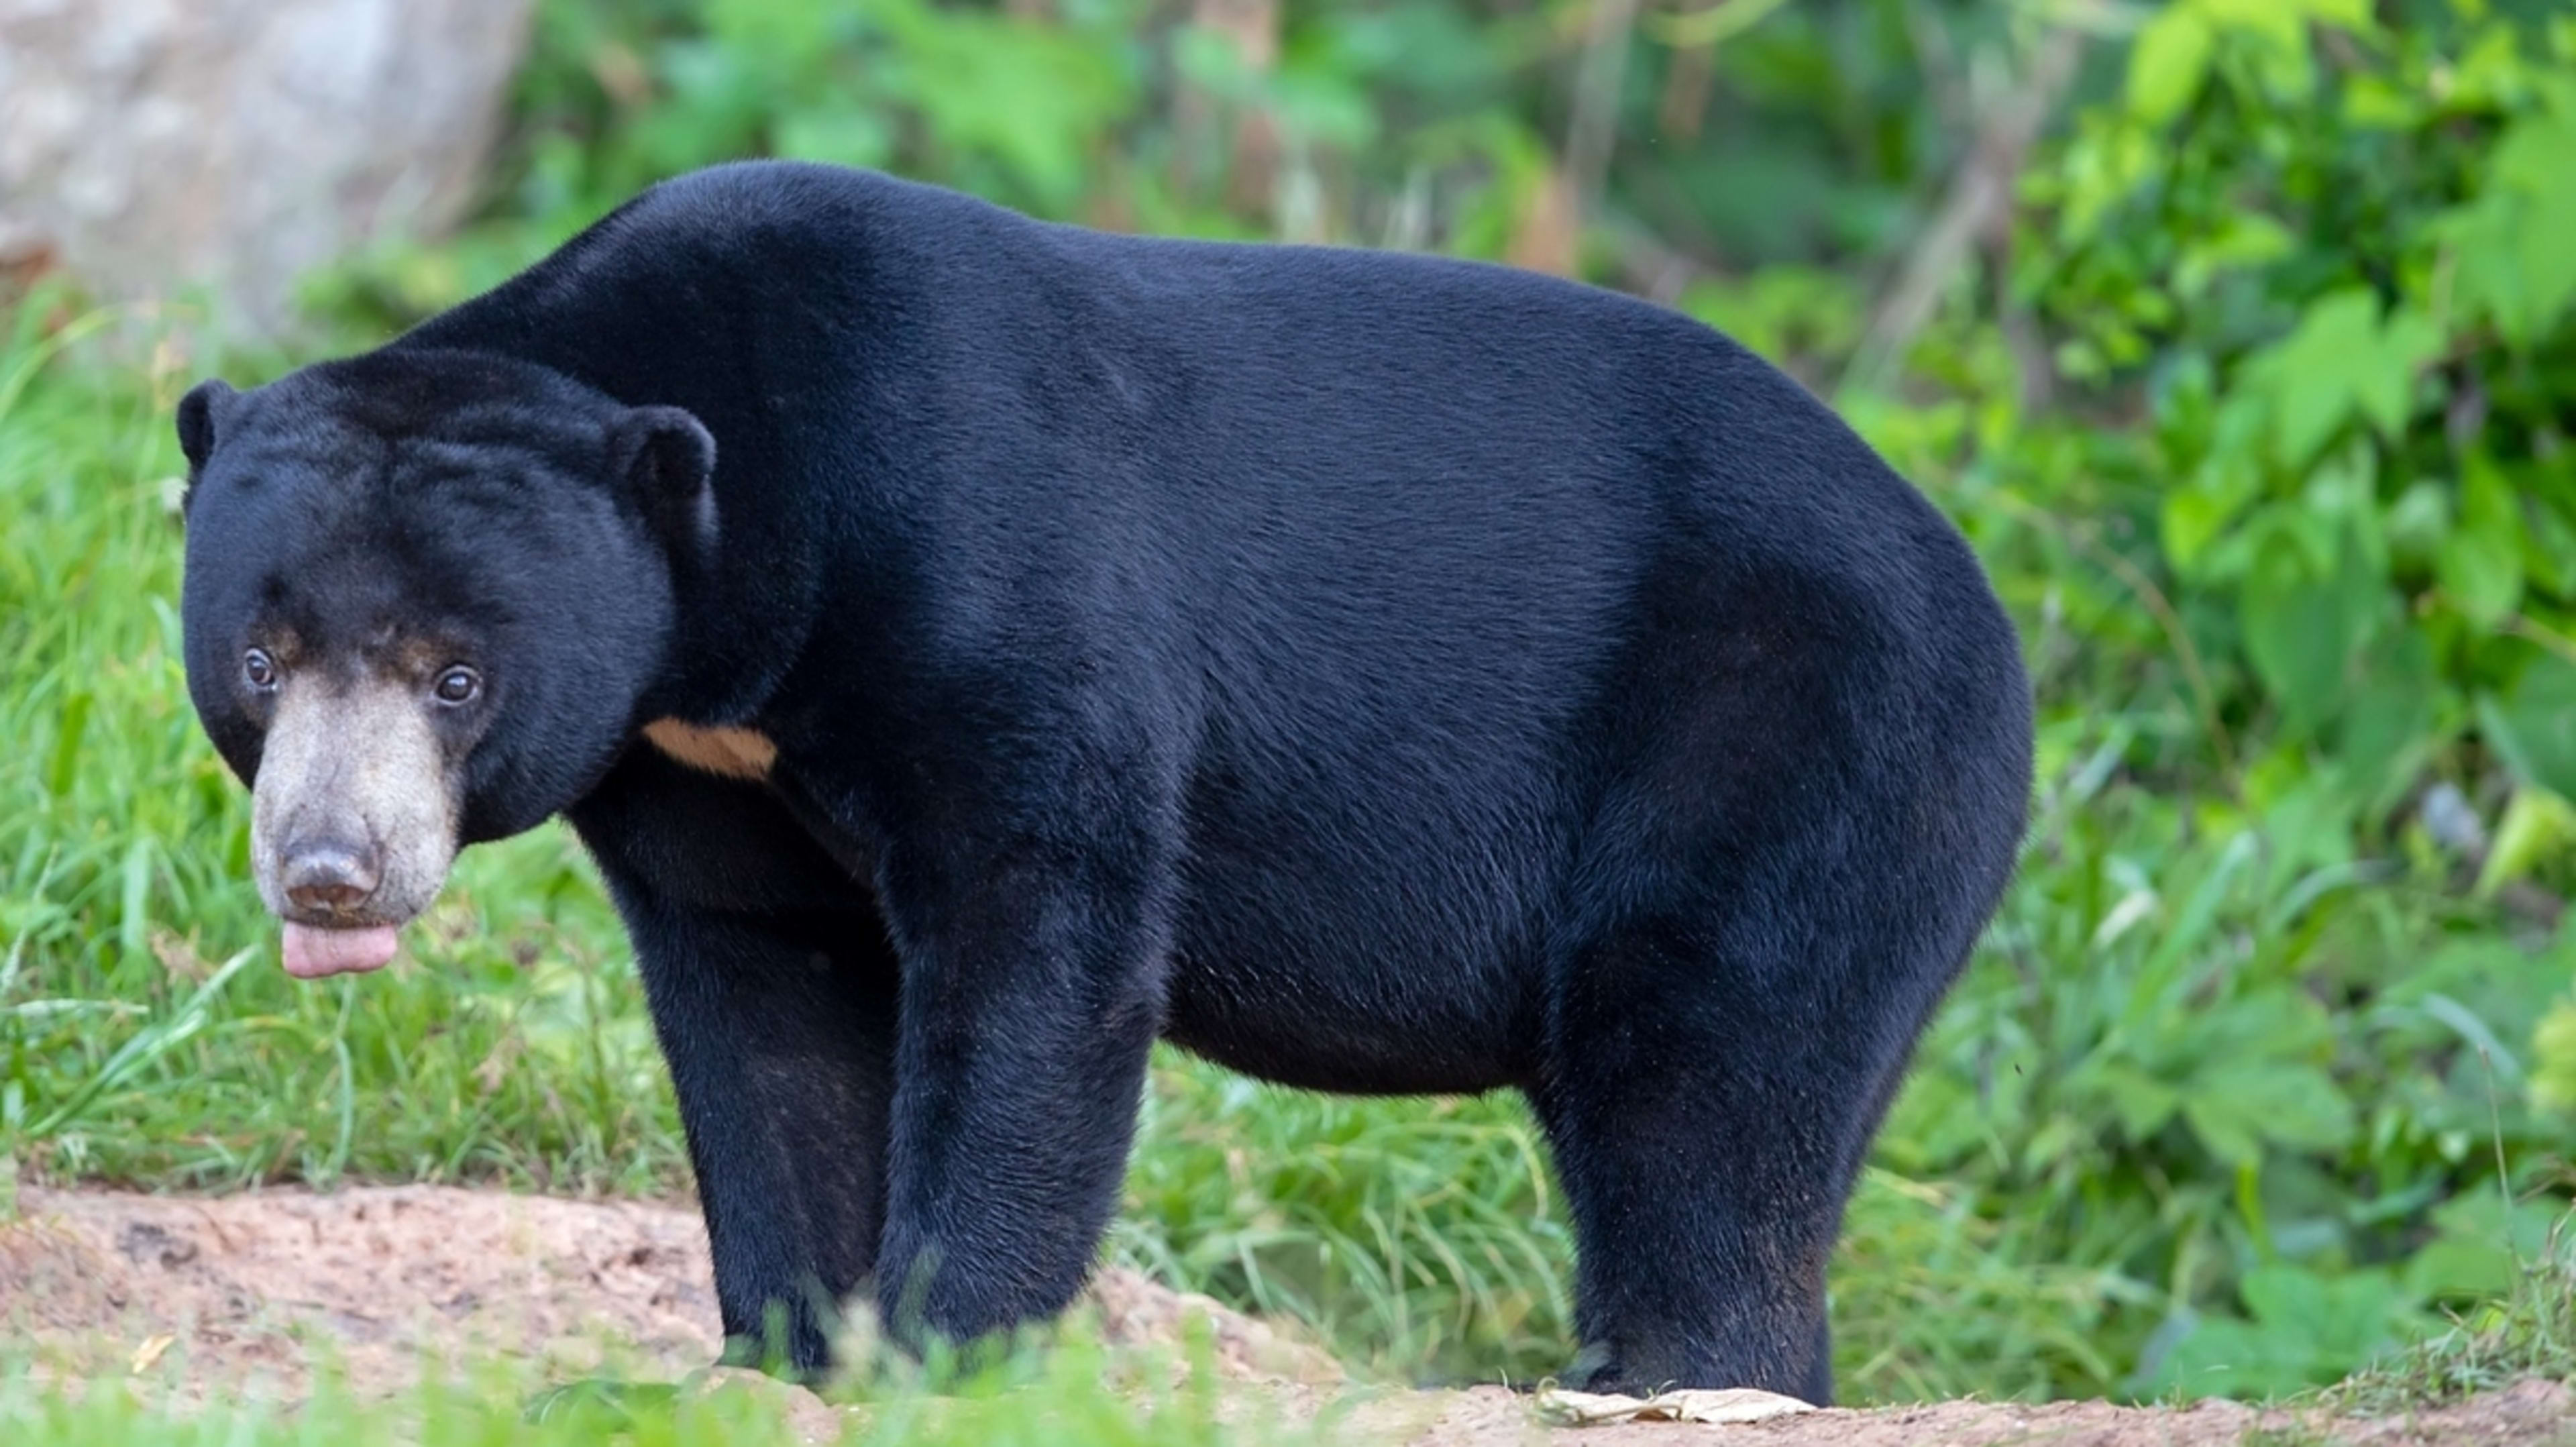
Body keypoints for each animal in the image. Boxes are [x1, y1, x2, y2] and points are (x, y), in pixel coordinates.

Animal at [176, 158, 2029, 1400]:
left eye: (456, 673)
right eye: (262, 660)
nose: (331, 867)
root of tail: (1986, 607)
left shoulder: (987, 548)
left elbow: (1038, 934)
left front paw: (944, 1344)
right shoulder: (696, 758)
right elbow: (762, 994)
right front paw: (790, 1344)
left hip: (1795, 731)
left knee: (1710, 1064)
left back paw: (1667, 1372)